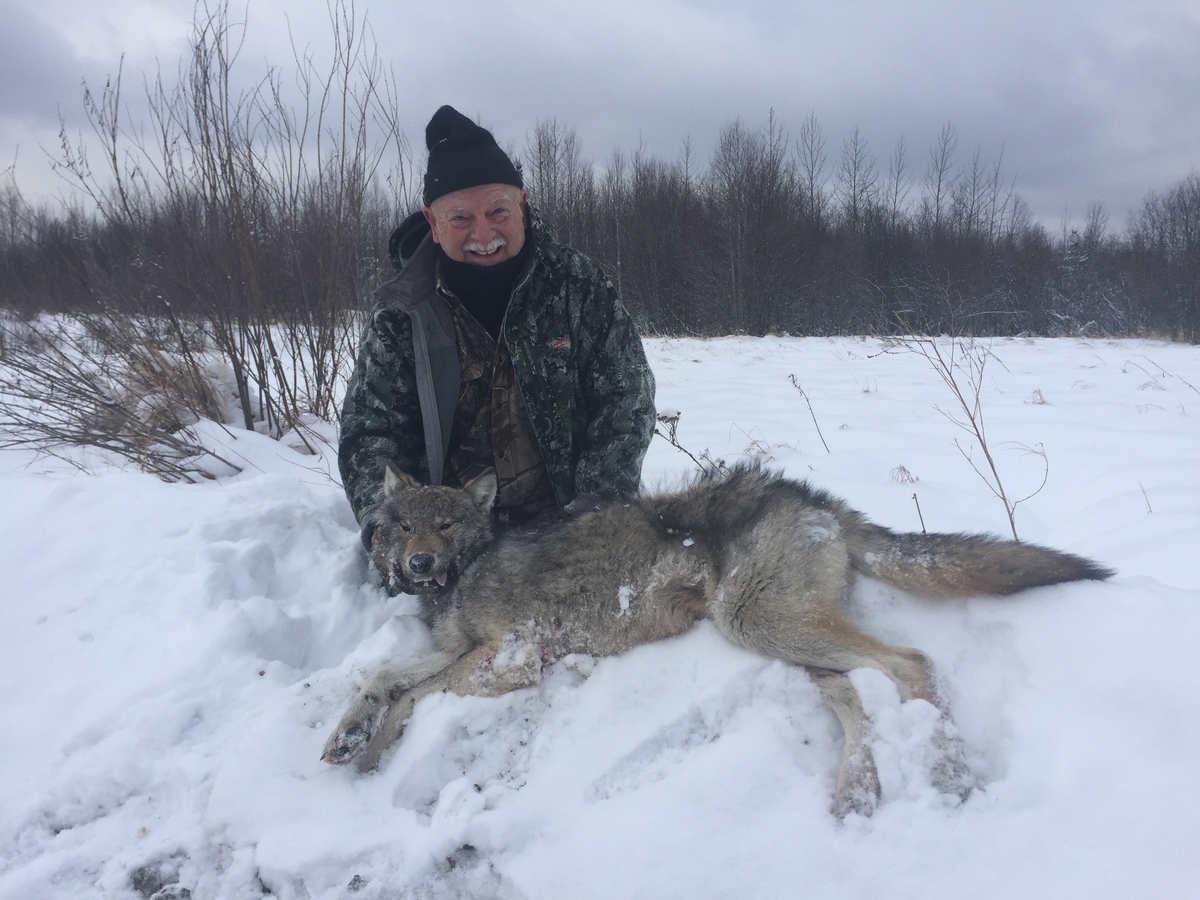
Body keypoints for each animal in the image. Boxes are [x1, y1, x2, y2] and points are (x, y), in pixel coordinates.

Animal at [323, 461, 1112, 816]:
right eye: (403, 525)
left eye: (445, 523)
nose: (418, 564)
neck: (470, 567)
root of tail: (812, 496)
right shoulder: (463, 652)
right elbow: (382, 677)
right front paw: (349, 735)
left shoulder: (513, 657)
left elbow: (413, 694)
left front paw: (375, 751)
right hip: (789, 644)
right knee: (857, 698)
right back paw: (856, 792)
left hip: (761, 624)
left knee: (911, 662)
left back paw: (946, 775)